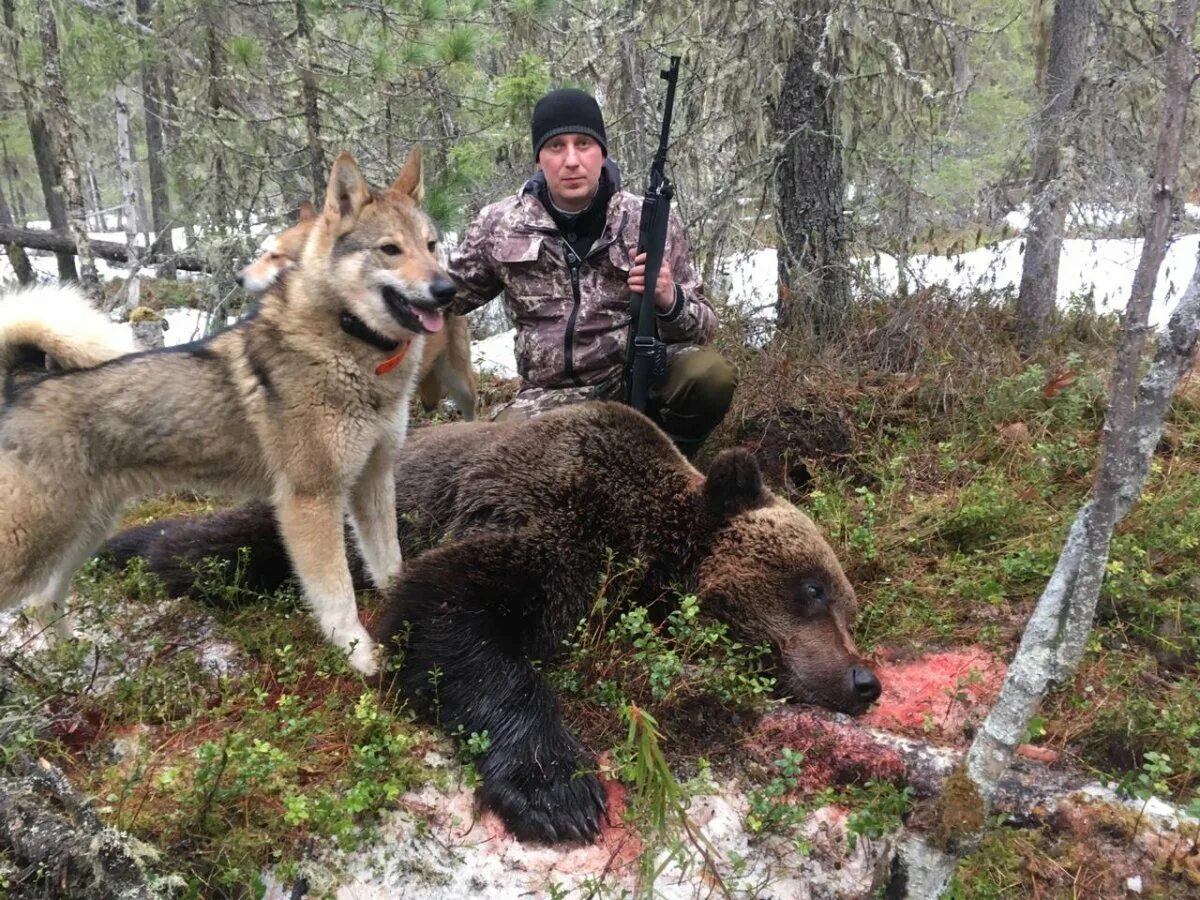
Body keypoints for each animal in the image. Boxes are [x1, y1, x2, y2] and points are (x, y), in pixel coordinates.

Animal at [1, 148, 451, 672]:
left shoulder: (373, 481)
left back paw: (71, 661)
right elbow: (337, 595)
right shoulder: (310, 500)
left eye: (431, 245)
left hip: (85, 530)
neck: (351, 345)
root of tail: (23, 380)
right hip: (37, 541)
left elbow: (389, 563)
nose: (448, 289)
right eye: (390, 249)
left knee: (44, 600)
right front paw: (360, 657)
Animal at [105, 400, 883, 844]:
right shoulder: (558, 510)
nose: (863, 680)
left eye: (849, 606)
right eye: (811, 587)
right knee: (216, 548)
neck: (648, 528)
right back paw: (123, 550)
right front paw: (558, 791)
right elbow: (447, 606)